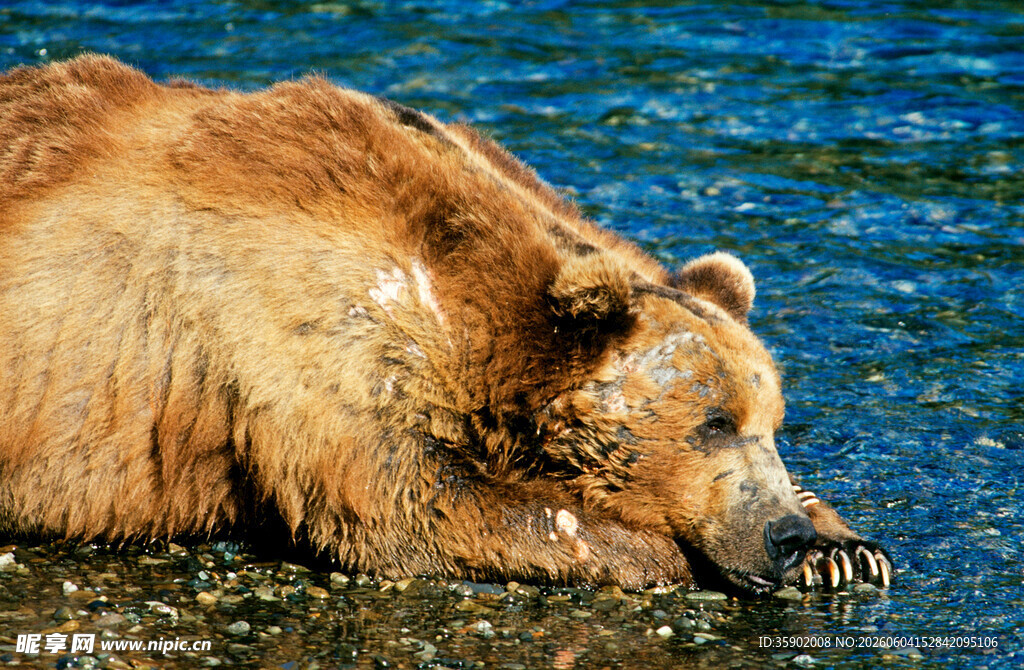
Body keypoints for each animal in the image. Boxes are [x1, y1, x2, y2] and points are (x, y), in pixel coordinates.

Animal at [0, 55, 890, 593]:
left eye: (772, 422)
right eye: (712, 424)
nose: (779, 534)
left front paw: (845, 548)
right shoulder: (302, 341)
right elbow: (413, 507)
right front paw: (657, 550)